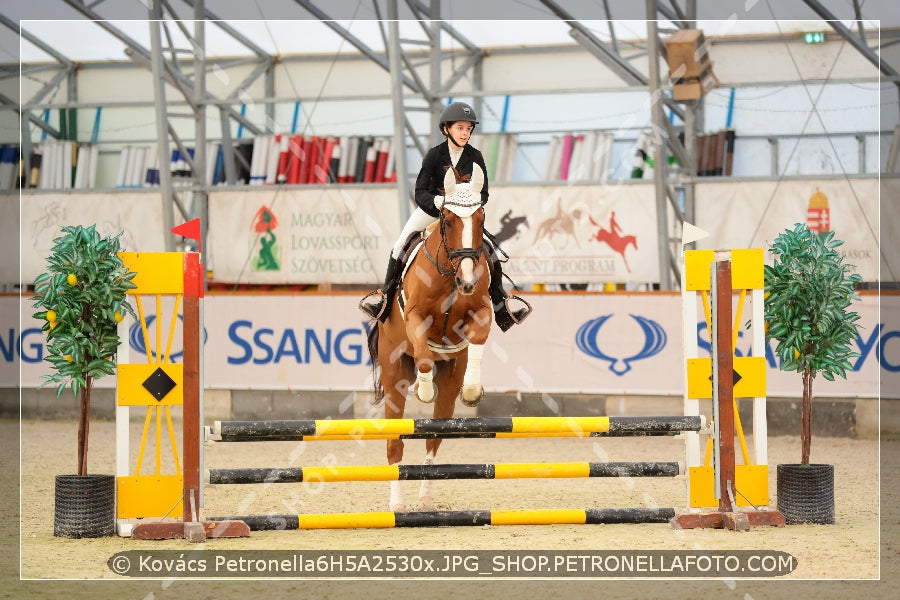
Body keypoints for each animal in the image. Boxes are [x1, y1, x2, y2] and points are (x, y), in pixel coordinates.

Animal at [364, 164, 492, 510]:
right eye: (448, 220)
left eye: (481, 220)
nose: (468, 281)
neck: (450, 275)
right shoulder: (415, 318)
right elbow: (423, 357)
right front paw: (422, 391)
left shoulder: (482, 310)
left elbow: (478, 338)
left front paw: (473, 391)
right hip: (393, 374)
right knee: (394, 444)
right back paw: (397, 503)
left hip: (448, 385)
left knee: (433, 438)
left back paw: (425, 496)